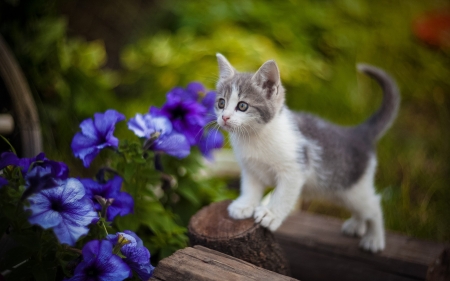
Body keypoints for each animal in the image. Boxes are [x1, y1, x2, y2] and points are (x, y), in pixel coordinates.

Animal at [214, 53, 400, 252]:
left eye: (242, 106)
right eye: (221, 103)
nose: (224, 117)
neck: (254, 137)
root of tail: (358, 133)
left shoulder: (295, 169)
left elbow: (284, 194)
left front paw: (271, 214)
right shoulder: (251, 168)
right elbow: (250, 187)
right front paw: (244, 205)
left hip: (352, 185)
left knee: (373, 205)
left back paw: (374, 239)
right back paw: (357, 225)